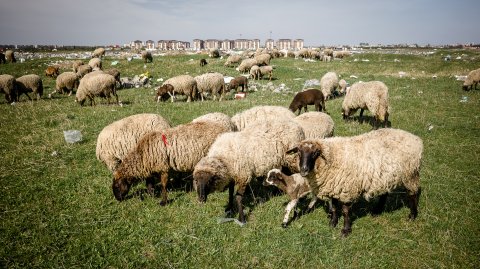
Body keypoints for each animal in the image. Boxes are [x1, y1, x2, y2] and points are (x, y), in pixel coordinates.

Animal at [286, 127, 422, 234]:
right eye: (299, 152)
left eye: (315, 153)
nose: (303, 170)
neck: (332, 156)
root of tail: (416, 139)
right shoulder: (334, 187)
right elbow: (334, 208)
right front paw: (332, 223)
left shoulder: (346, 189)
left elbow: (346, 211)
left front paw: (345, 230)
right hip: (384, 177)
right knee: (384, 193)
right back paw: (377, 210)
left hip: (410, 174)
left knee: (413, 193)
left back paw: (412, 215)